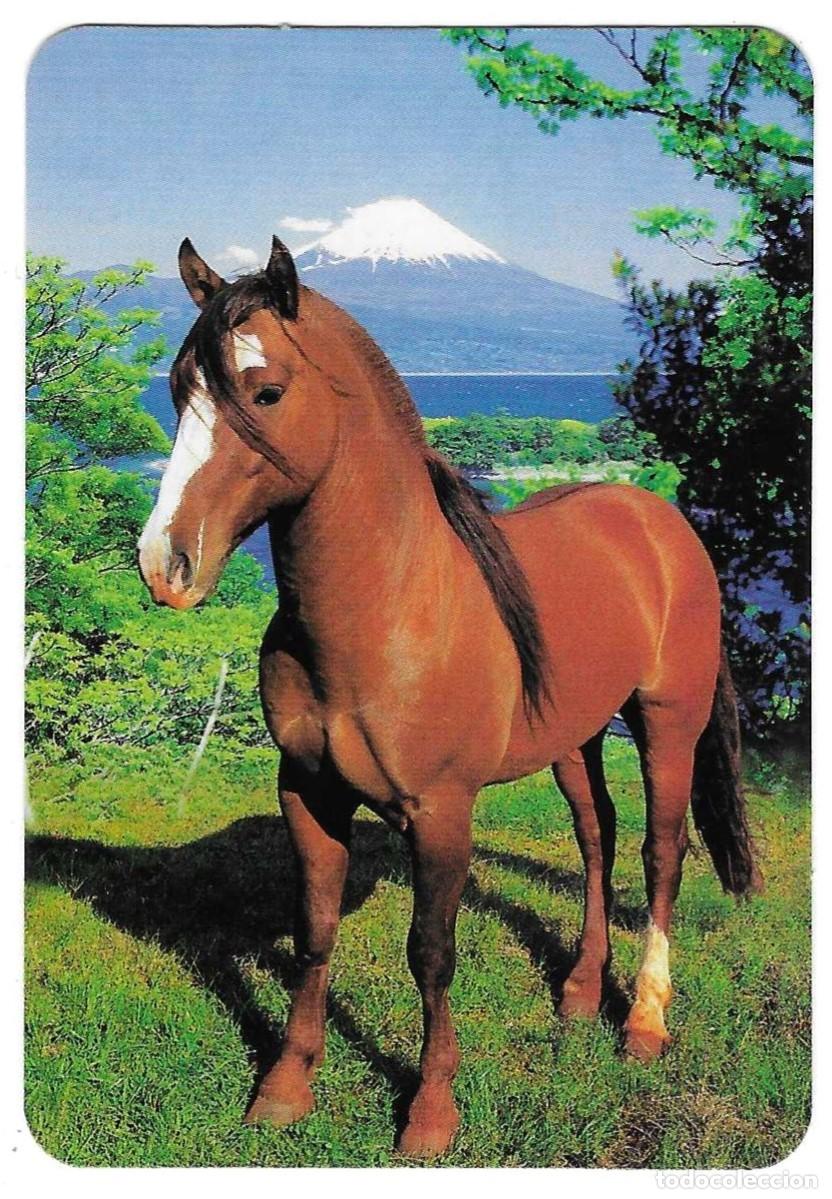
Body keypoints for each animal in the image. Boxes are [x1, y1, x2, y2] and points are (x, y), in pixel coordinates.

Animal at [137, 235, 760, 1158]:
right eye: (181, 390)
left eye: (266, 391)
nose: (165, 564)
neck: (387, 607)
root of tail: (662, 522)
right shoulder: (307, 793)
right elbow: (315, 932)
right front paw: (285, 1087)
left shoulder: (440, 811)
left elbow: (430, 952)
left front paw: (430, 1112)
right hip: (573, 738)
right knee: (597, 838)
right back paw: (579, 992)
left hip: (666, 723)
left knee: (660, 851)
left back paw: (643, 1023)